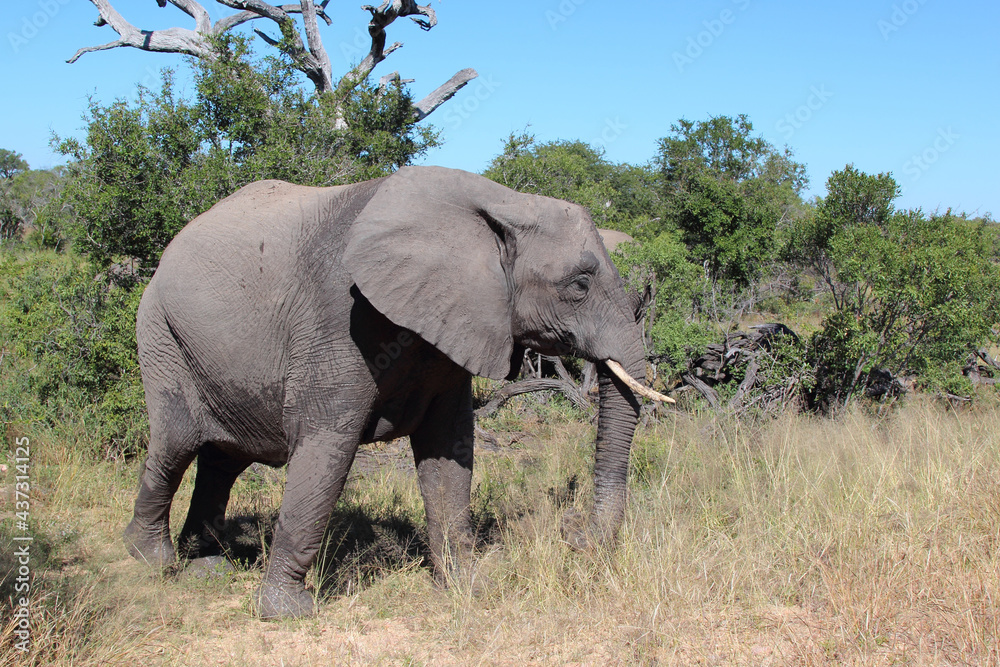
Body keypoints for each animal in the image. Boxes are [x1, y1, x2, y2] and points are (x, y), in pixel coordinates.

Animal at [125, 167, 672, 620]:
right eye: (579, 284)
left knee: (223, 458)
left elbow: (448, 451)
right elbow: (326, 448)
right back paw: (151, 561)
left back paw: (206, 566)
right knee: (176, 444)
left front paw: (469, 589)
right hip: (160, 331)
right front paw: (286, 613)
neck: (500, 201)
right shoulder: (337, 320)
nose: (572, 531)